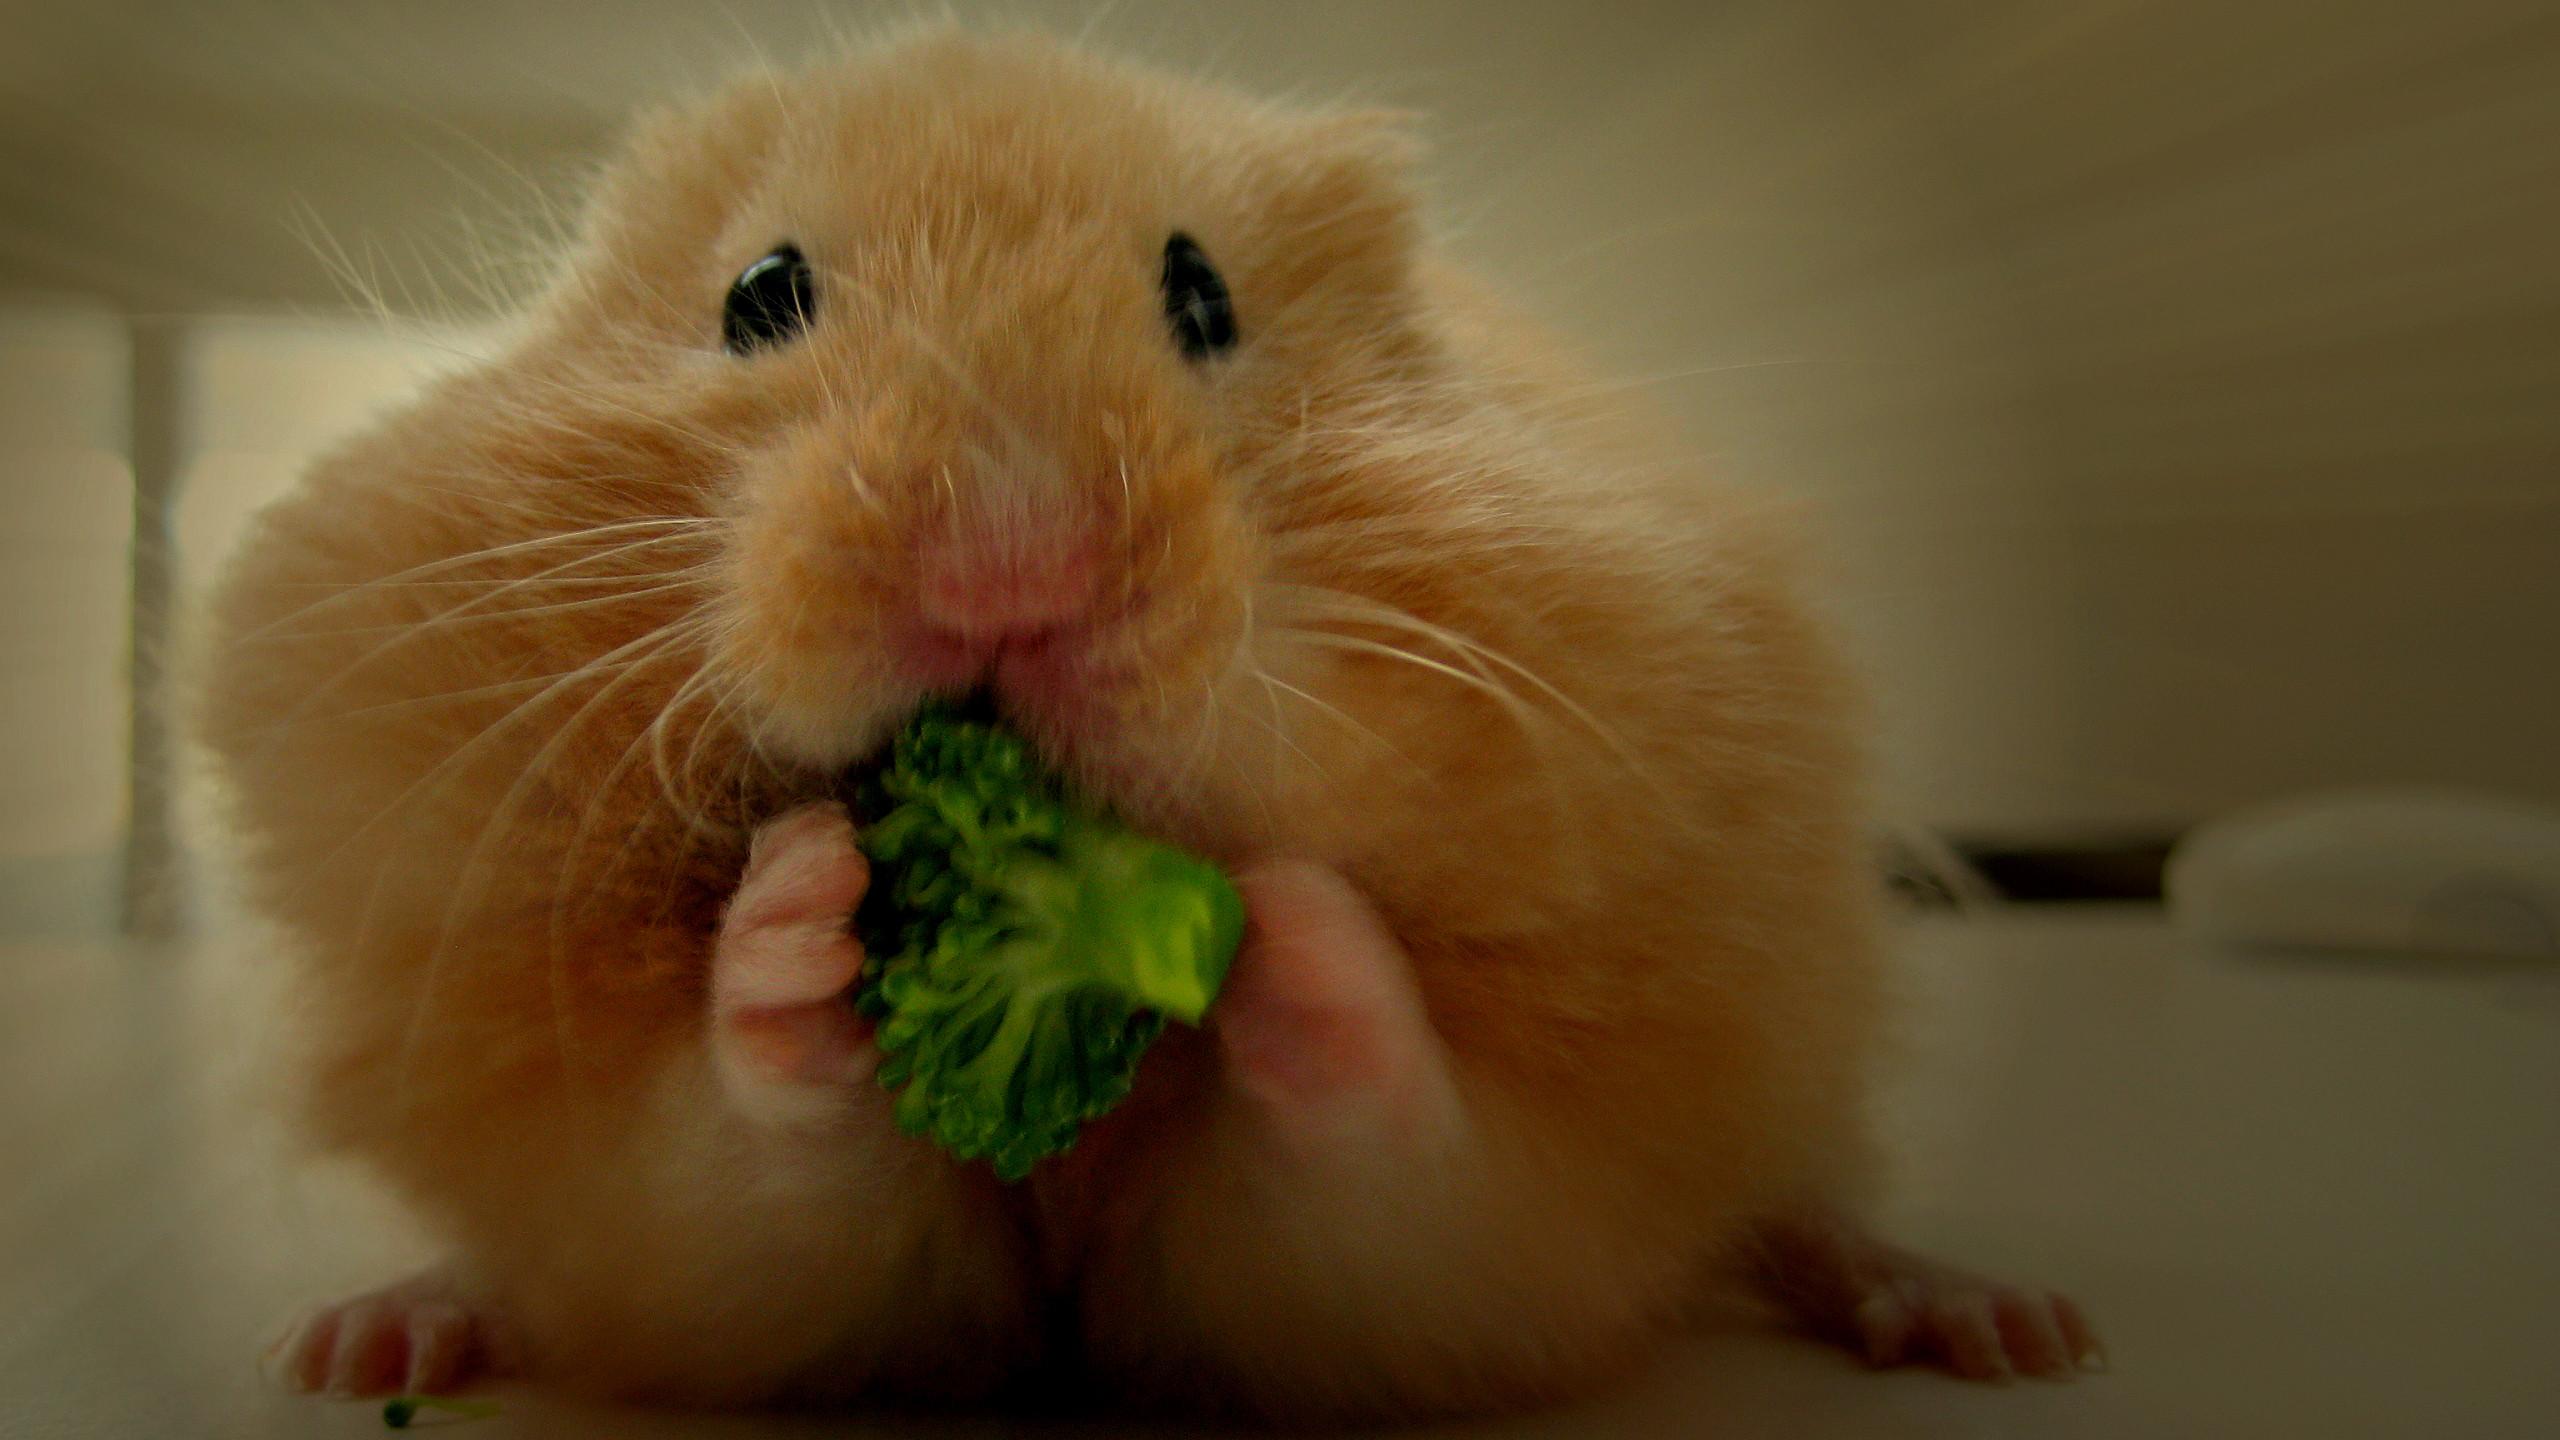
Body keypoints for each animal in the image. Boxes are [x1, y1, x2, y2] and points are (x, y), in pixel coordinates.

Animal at [197, 26, 2099, 1422]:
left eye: (1203, 297)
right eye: (759, 295)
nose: (1006, 571)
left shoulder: (1446, 1248)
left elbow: (1384, 1152)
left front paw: (1294, 934)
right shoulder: (718, 1251)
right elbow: (755, 1157)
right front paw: (800, 910)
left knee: (1809, 1201)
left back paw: (1999, 1324)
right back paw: (365, 1339)